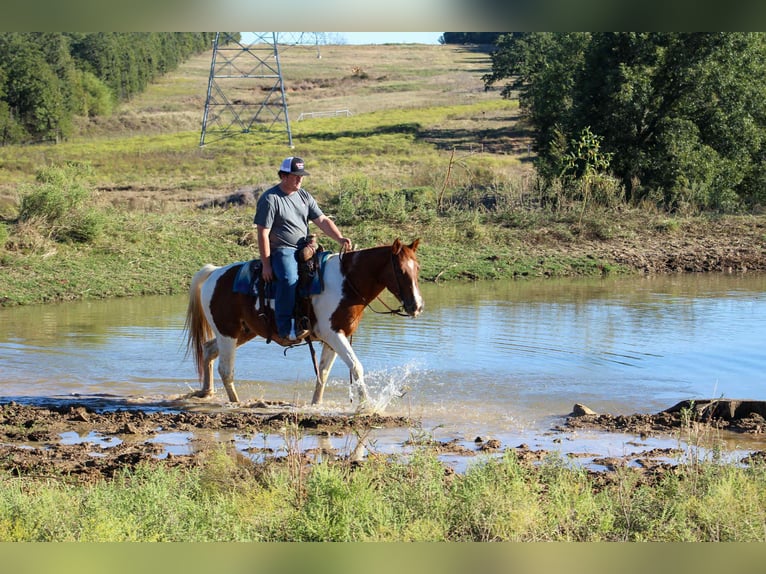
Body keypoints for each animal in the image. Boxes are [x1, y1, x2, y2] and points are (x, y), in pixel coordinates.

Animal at [183, 238, 423, 407]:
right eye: (400, 270)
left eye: (418, 268)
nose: (417, 306)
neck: (347, 282)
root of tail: (215, 273)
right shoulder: (333, 333)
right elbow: (356, 366)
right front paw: (368, 406)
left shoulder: (334, 337)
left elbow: (323, 372)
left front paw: (316, 404)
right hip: (228, 333)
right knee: (226, 369)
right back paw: (237, 403)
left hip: (243, 331)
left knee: (208, 349)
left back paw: (207, 392)